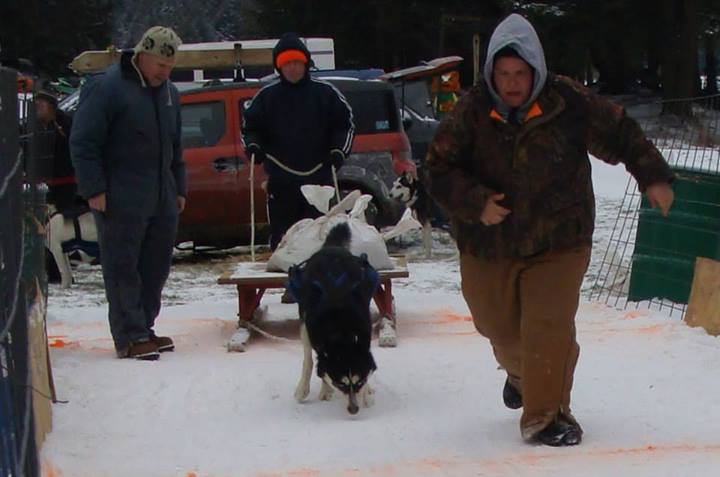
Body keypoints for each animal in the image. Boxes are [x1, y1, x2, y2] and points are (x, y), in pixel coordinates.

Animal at [290, 223, 380, 412]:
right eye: (341, 384)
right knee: (309, 359)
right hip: (304, 323)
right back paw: (307, 388)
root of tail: (332, 247)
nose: (353, 409)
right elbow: (317, 365)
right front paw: (321, 388)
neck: (342, 329)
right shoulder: (313, 334)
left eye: (359, 382)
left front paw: (366, 393)